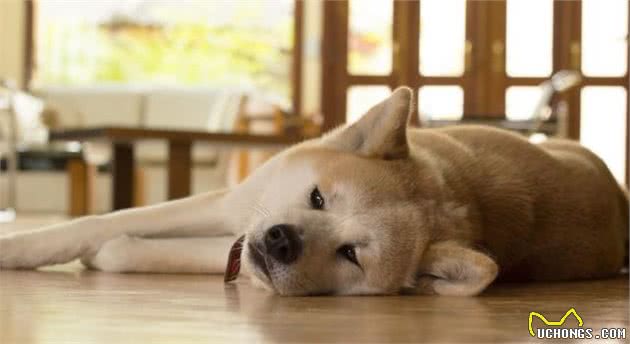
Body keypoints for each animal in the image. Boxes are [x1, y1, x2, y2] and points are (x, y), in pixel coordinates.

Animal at [0, 87, 628, 296]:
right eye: (318, 198)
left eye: (350, 254)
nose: (282, 239)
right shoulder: (234, 204)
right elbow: (99, 221)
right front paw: (20, 247)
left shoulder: (234, 238)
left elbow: (137, 246)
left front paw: (114, 254)